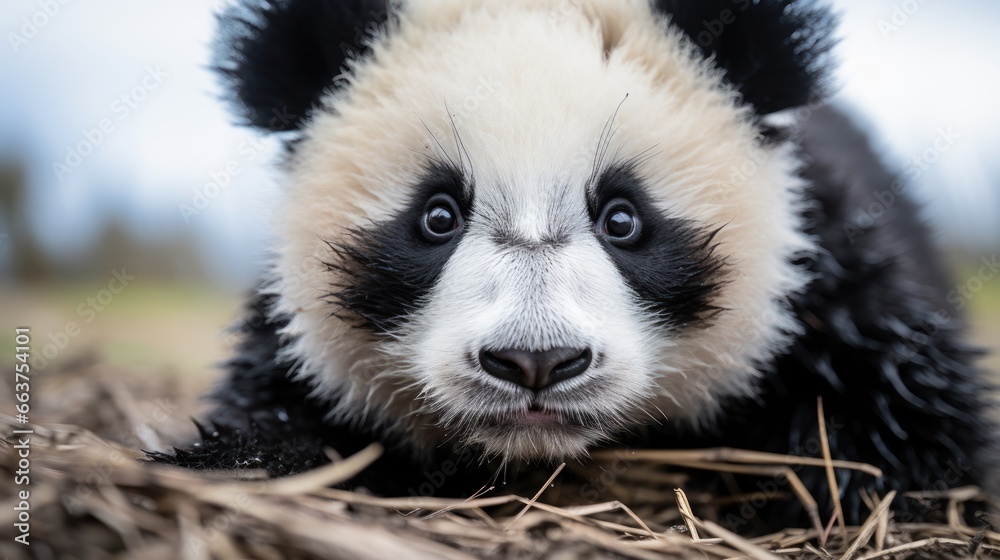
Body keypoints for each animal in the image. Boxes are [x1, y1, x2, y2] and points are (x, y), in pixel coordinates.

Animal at [152, 0, 996, 528]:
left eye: (623, 218)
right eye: (437, 216)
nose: (536, 362)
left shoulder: (827, 280)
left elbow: (905, 434)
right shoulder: (297, 348)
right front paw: (243, 464)